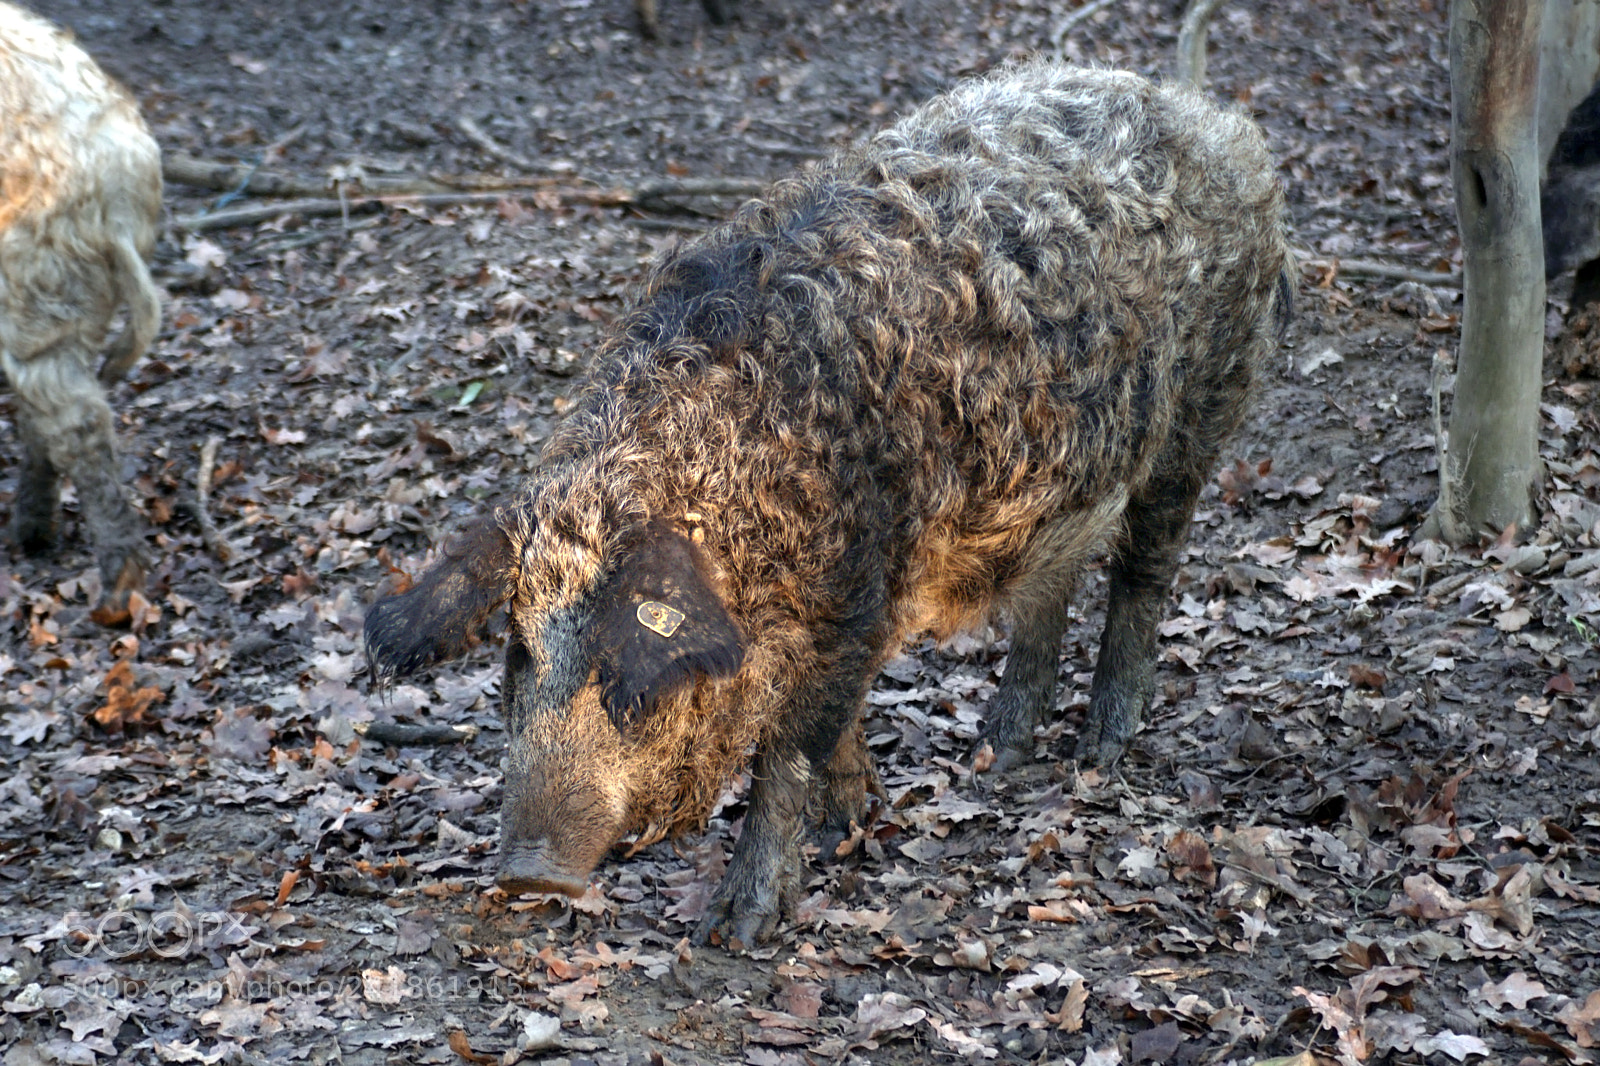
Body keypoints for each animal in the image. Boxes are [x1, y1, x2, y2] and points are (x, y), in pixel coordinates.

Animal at [364, 60, 1293, 946]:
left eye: (633, 652)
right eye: (521, 652)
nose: (529, 873)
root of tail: (1212, 119)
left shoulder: (861, 591)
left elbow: (790, 749)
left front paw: (738, 929)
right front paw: (852, 817)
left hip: (1202, 406)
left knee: (1146, 569)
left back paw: (1102, 749)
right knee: (1048, 586)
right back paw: (996, 752)